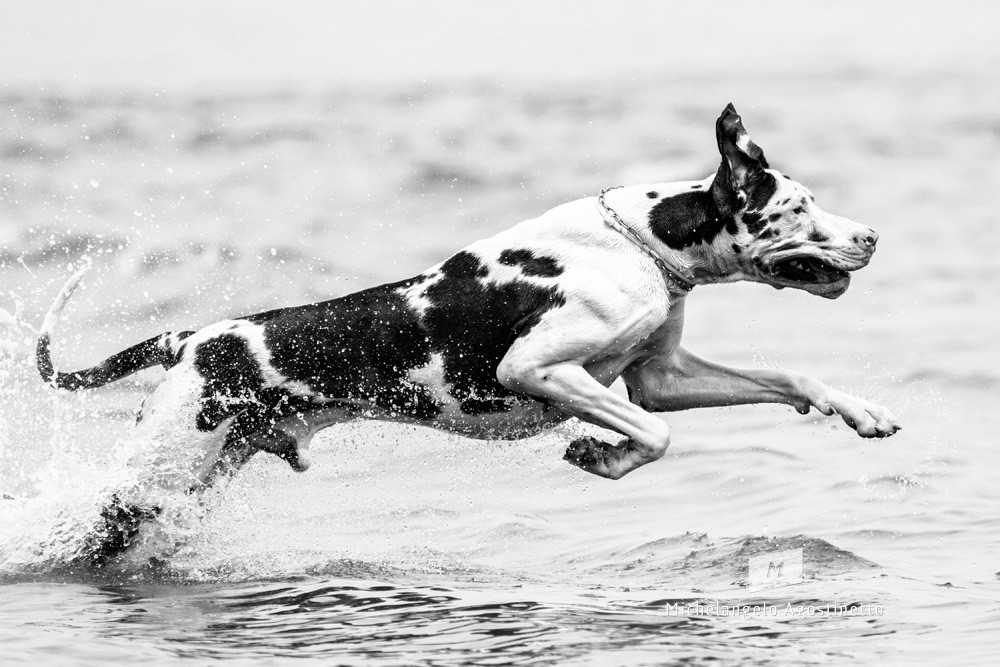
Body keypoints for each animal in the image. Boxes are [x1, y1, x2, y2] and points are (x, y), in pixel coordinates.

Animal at [37, 104, 900, 564]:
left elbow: (789, 379)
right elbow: (652, 435)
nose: (871, 236)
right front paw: (600, 455)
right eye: (798, 206)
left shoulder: (662, 376)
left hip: (197, 480)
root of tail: (188, 339)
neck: (645, 244)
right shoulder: (538, 369)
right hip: (152, 482)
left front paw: (862, 411)